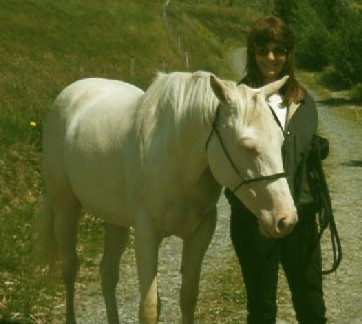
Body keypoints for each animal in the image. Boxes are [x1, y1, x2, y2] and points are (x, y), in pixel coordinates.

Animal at [40, 71, 296, 324]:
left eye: (281, 141)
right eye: (246, 146)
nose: (285, 219)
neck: (176, 157)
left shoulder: (200, 232)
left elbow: (188, 297)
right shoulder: (146, 234)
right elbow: (149, 308)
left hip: (115, 221)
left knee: (108, 273)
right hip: (65, 208)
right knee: (70, 268)